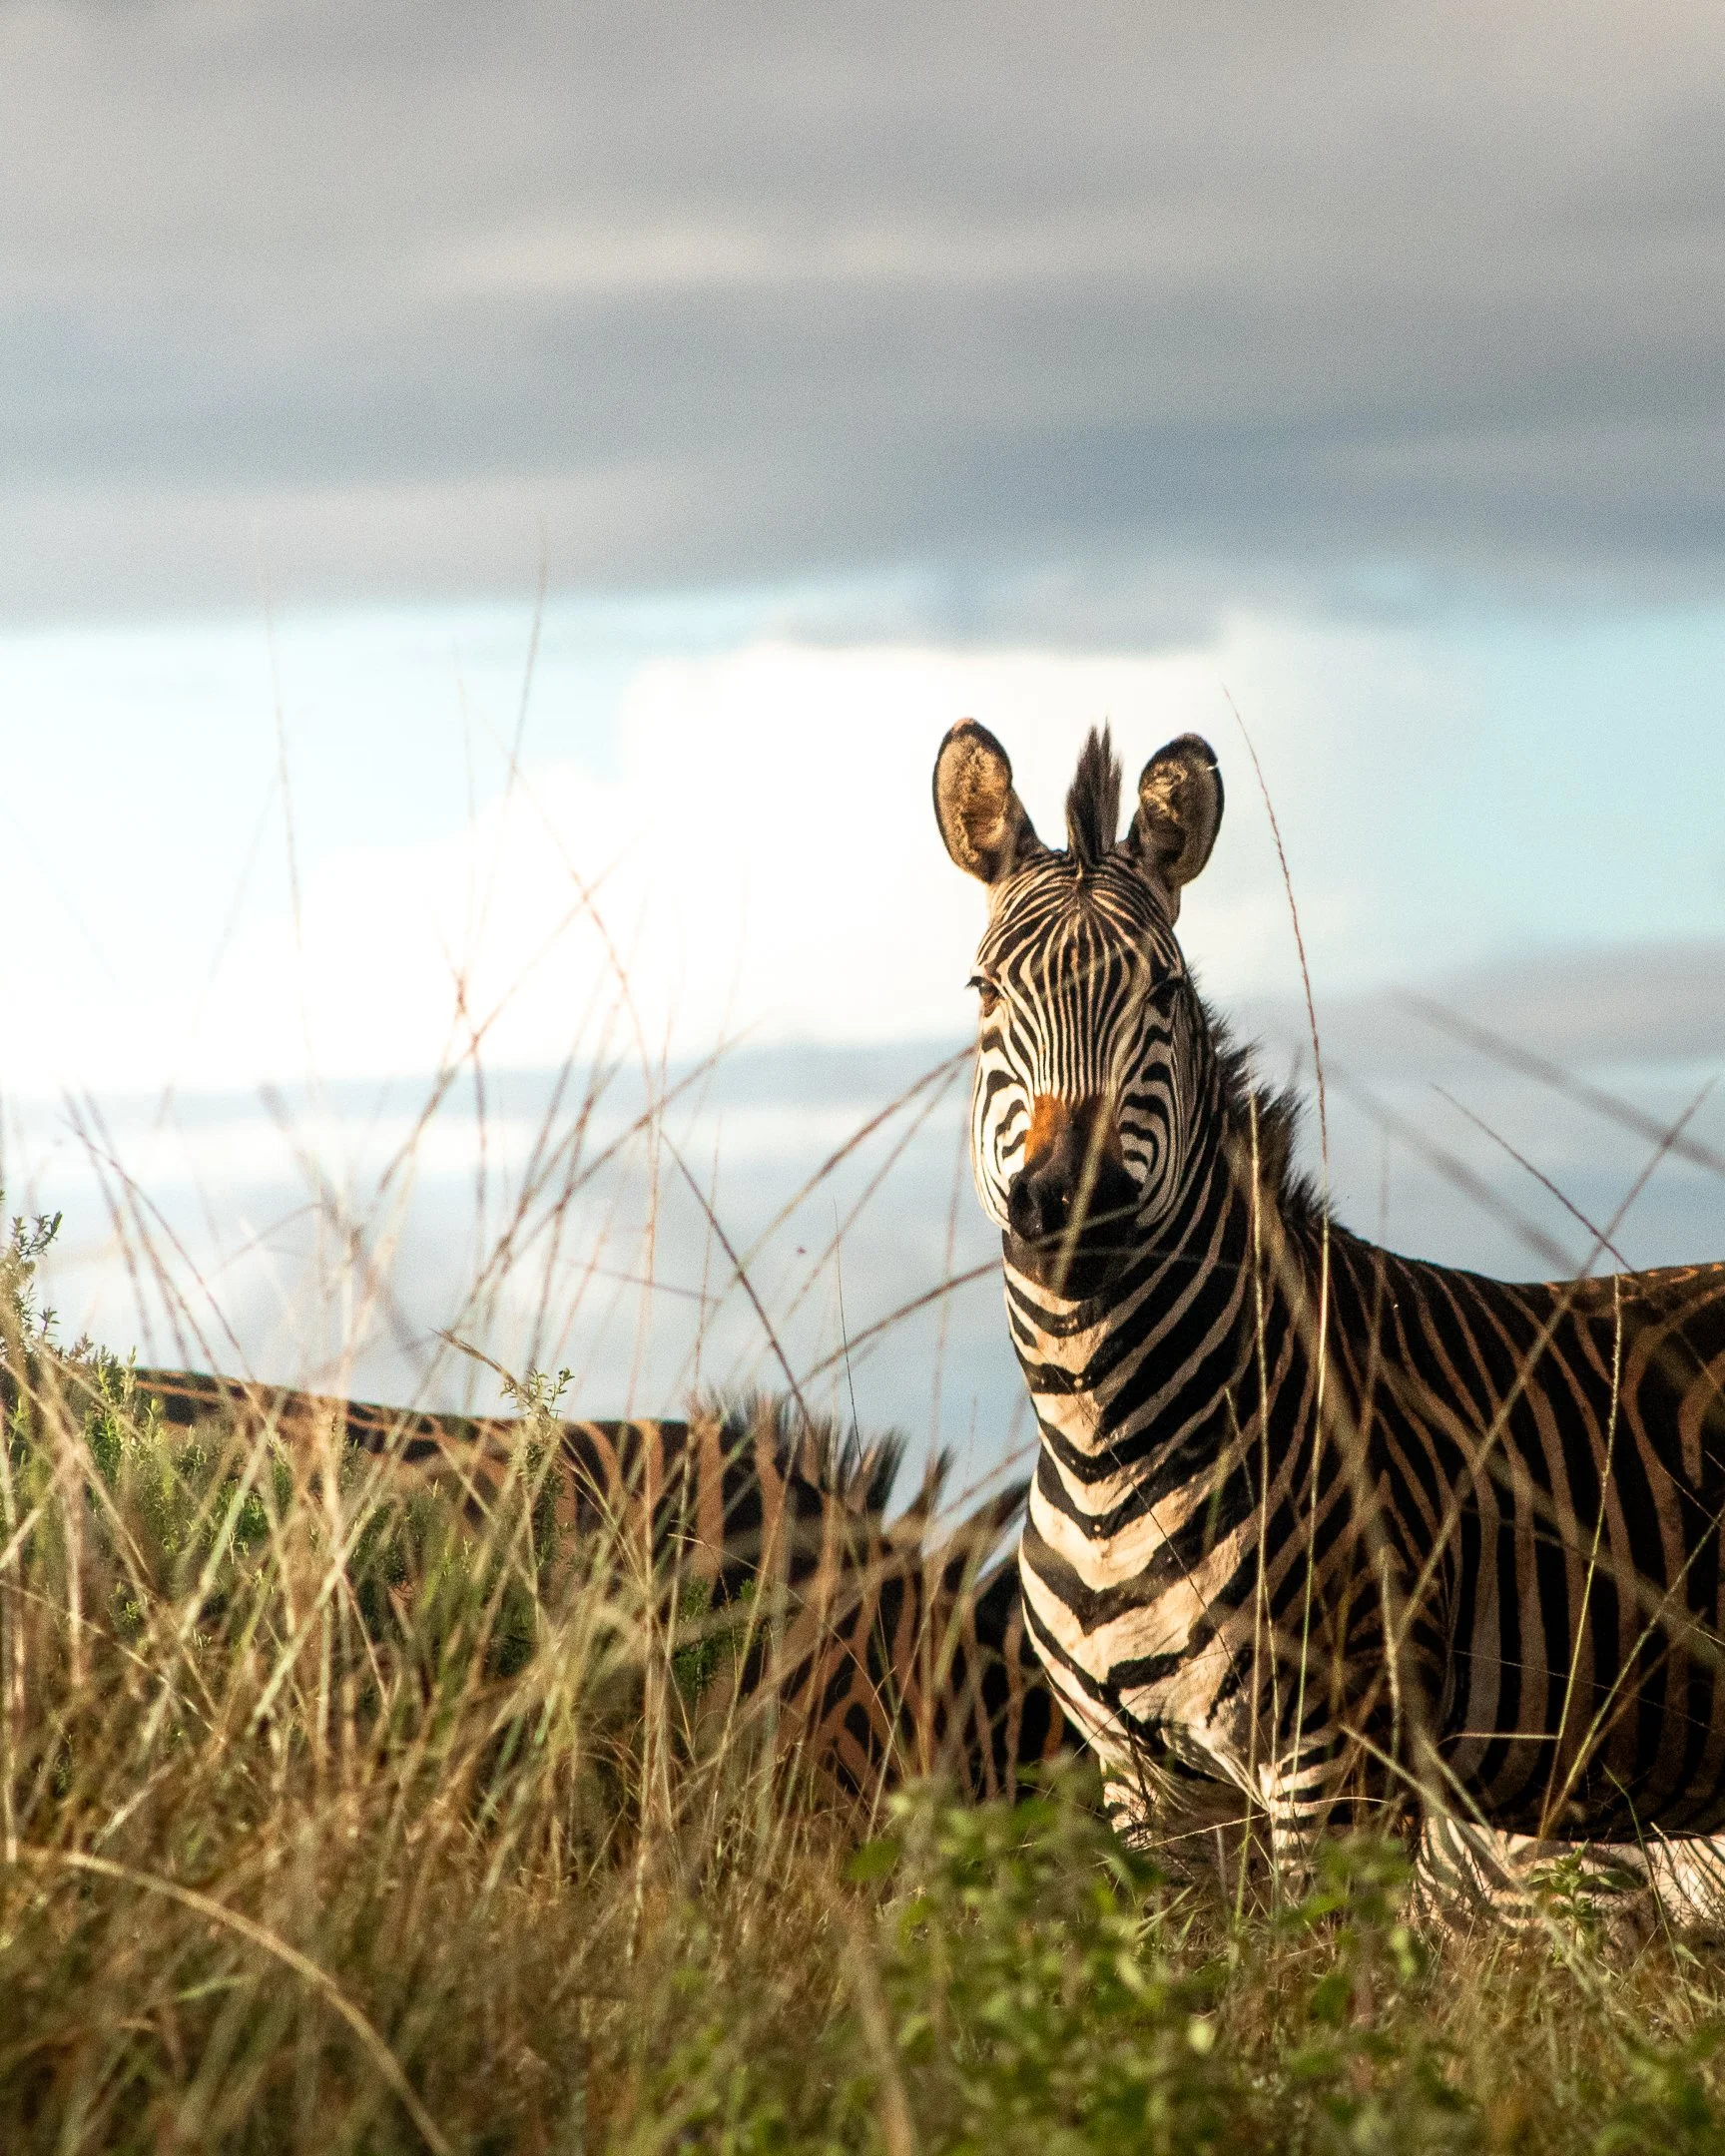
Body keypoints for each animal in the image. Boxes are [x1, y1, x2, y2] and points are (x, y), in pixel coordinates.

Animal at [933, 716, 1725, 1924]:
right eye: (985, 993)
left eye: (1165, 995)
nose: (1069, 1207)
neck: (1107, 1445)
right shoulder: (1146, 1783)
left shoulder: (1339, 1757)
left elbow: (1315, 1975)